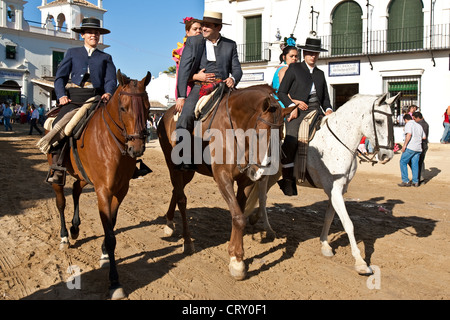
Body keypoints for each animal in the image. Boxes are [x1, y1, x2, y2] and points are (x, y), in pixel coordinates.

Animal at [48, 70, 151, 300]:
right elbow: (111, 234)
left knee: (76, 191)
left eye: (148, 107)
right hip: (58, 177)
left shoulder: (120, 191)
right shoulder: (104, 190)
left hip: (83, 175)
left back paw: (75, 228)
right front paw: (114, 282)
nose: (137, 148)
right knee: (61, 202)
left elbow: (111, 224)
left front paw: (104, 254)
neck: (113, 144)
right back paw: (64, 236)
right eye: (123, 108)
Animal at [156, 84, 294, 280]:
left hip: (188, 171)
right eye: (258, 134)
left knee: (177, 191)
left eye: (281, 134)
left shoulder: (245, 180)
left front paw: (236, 257)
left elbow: (240, 214)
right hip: (173, 166)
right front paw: (237, 261)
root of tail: (166, 114)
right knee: (181, 198)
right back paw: (187, 241)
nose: (263, 170)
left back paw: (169, 223)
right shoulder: (222, 177)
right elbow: (238, 217)